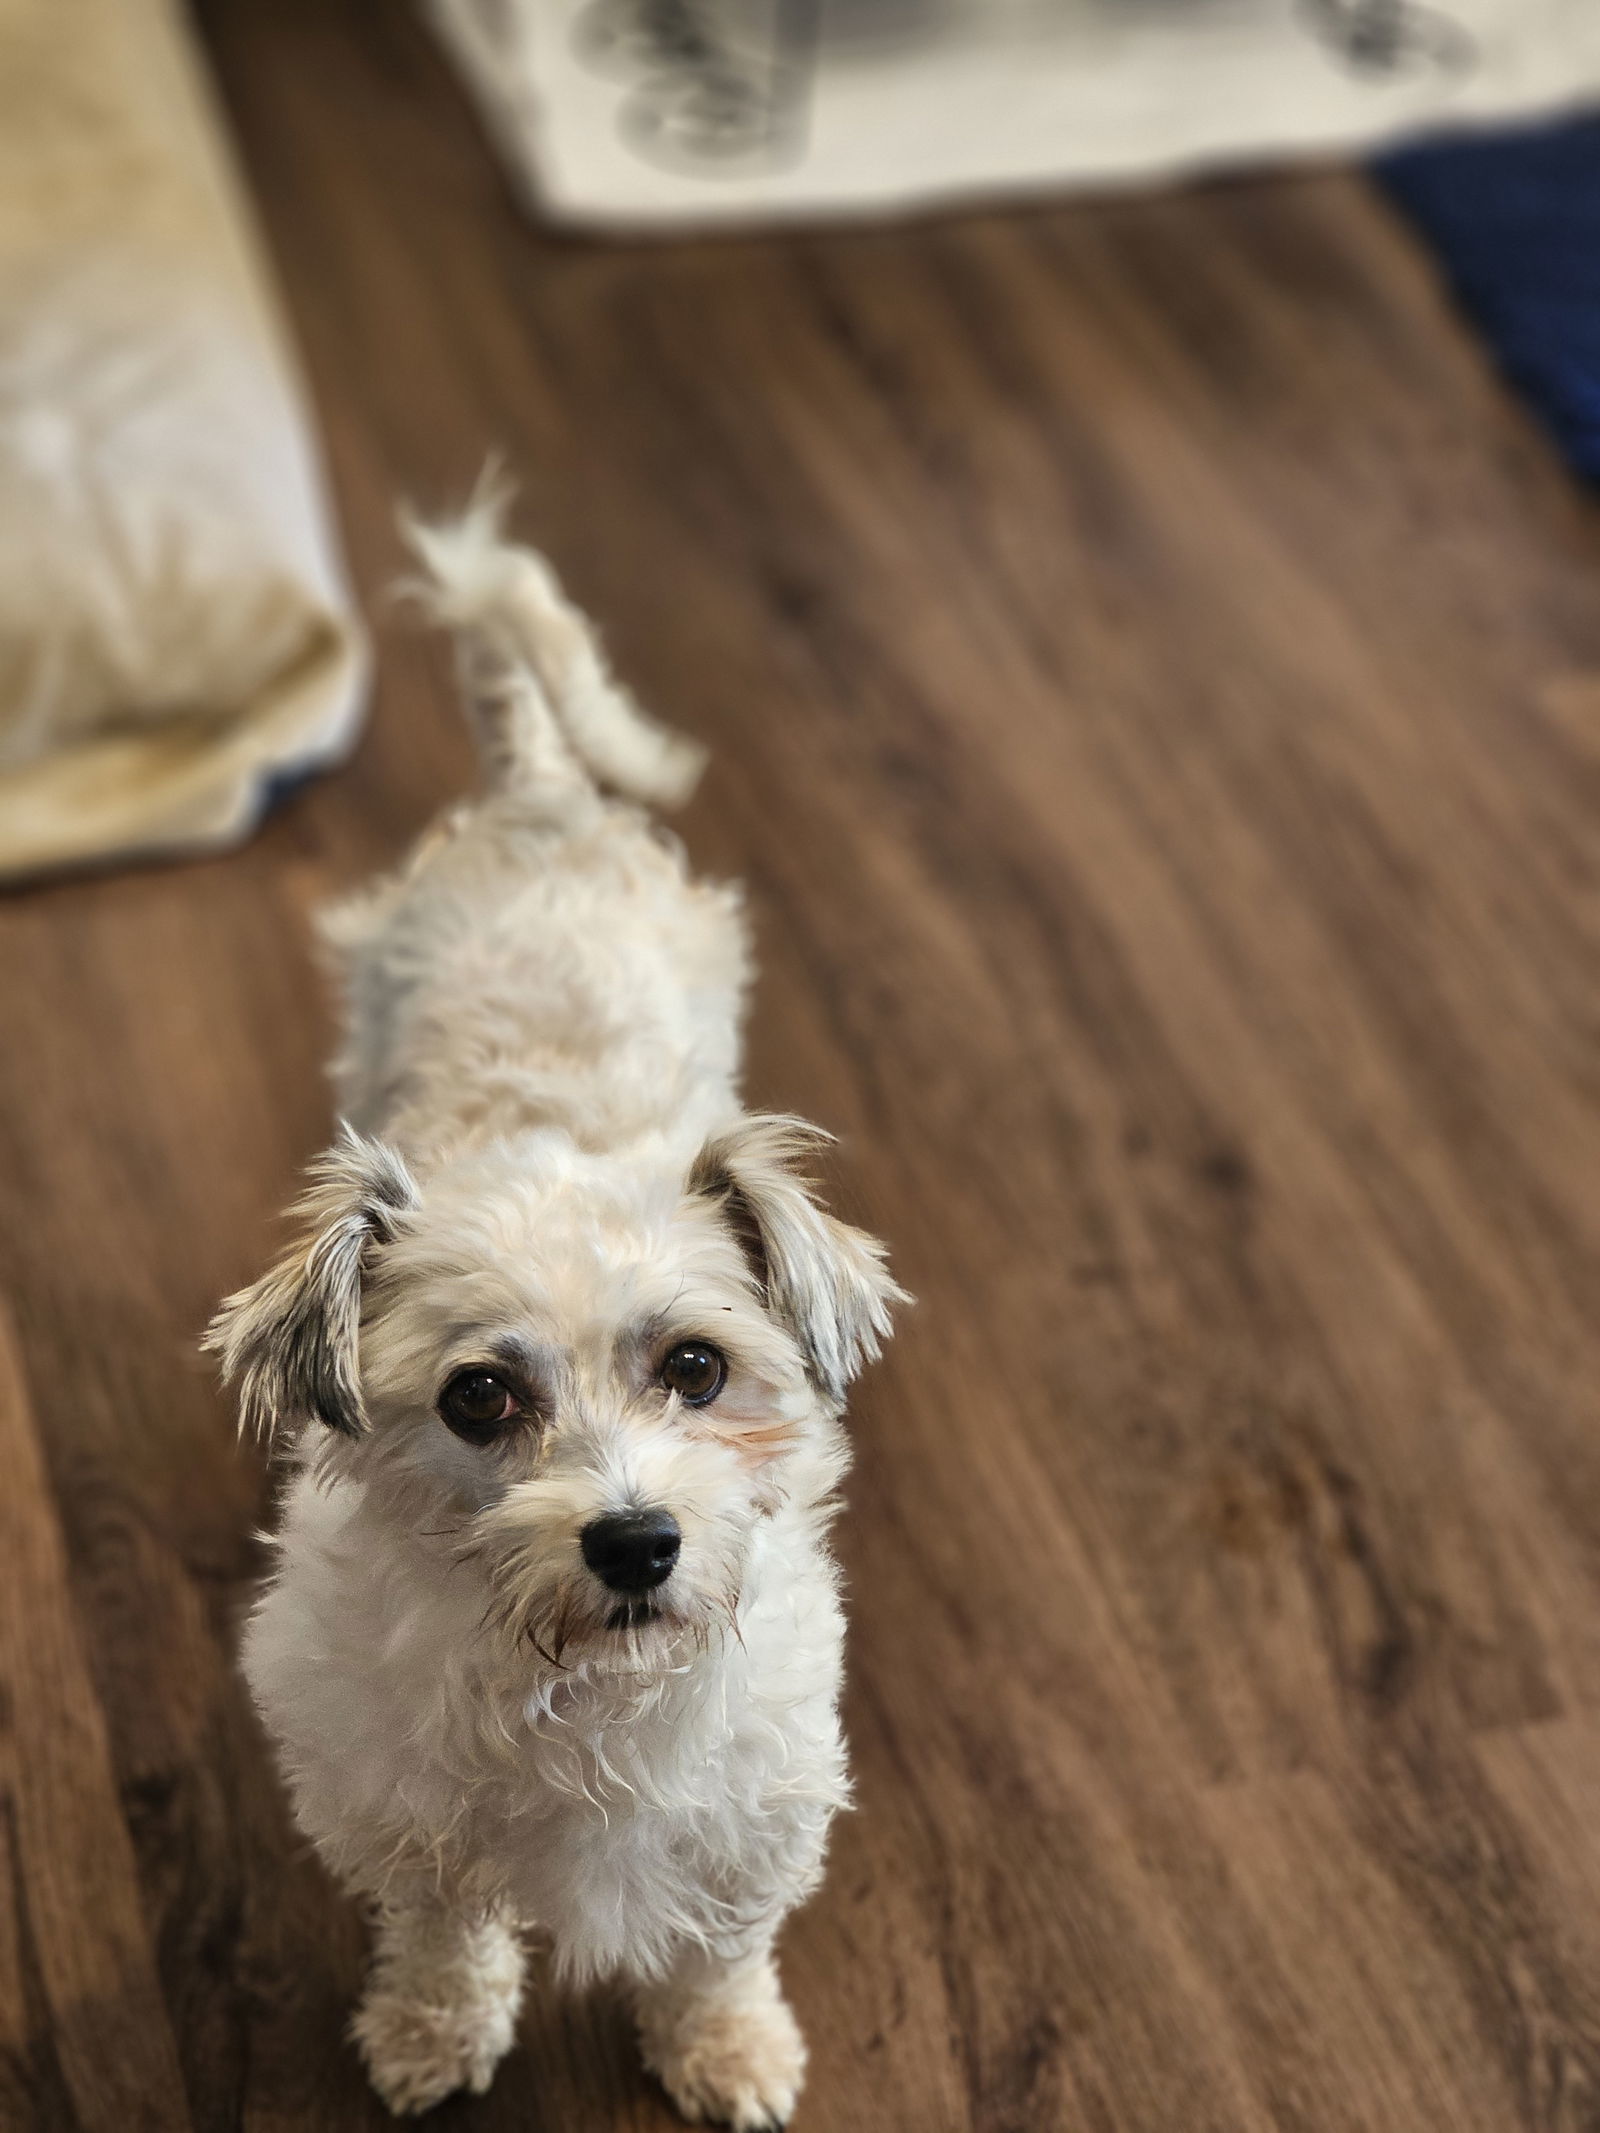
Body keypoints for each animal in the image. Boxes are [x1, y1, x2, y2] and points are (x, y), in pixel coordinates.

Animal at [203, 490, 904, 2124]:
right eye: (479, 1397)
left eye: (698, 1368)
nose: (636, 1540)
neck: (578, 1689)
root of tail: (536, 794)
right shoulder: (398, 1815)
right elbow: (444, 1932)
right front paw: (431, 2034)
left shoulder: (750, 1821)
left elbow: (716, 1954)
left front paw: (727, 2052)